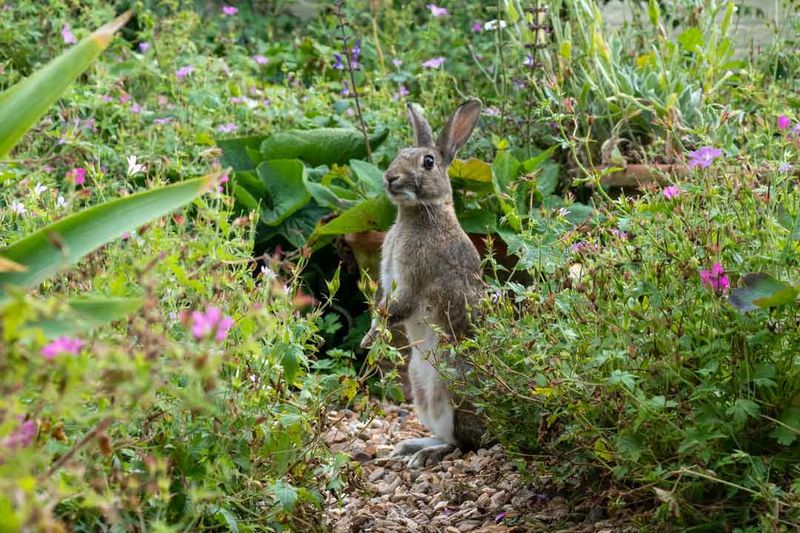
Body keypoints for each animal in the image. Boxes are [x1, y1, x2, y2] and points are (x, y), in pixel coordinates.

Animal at [360, 99, 485, 468]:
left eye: (428, 162)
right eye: (400, 152)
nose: (390, 177)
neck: (419, 213)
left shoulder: (411, 283)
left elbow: (393, 310)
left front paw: (370, 341)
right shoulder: (389, 279)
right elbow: (381, 307)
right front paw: (368, 339)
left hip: (450, 385)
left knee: (465, 443)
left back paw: (428, 454)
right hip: (418, 383)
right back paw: (409, 447)